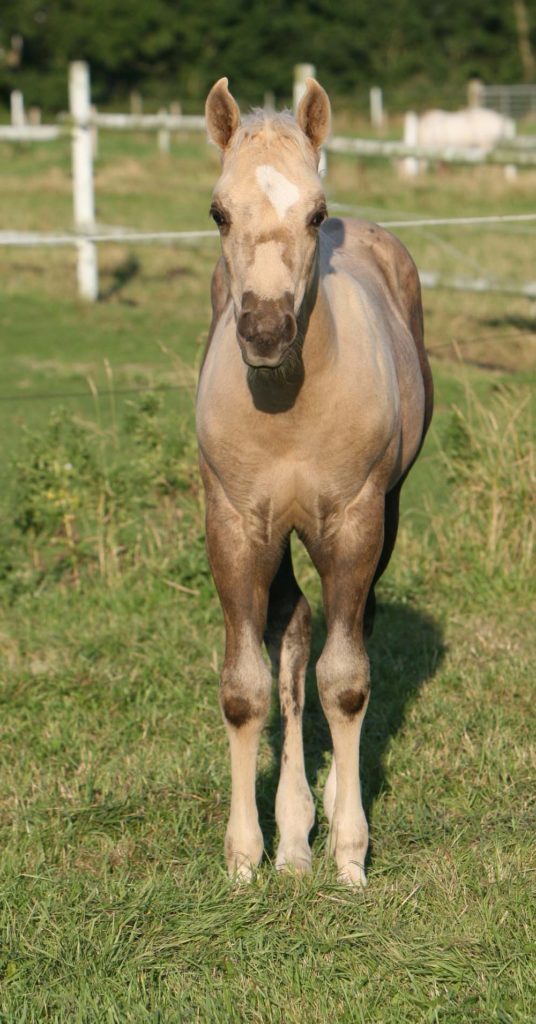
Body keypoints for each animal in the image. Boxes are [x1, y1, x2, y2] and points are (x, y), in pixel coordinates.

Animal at [196, 75, 432, 884]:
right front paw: (245, 860)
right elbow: (246, 688)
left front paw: (351, 854)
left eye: (316, 214)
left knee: (342, 636)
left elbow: (347, 679)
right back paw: (295, 834)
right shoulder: (237, 526)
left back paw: (322, 816)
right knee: (295, 633)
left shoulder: (355, 521)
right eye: (219, 212)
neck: (289, 406)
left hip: (384, 515)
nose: (266, 332)